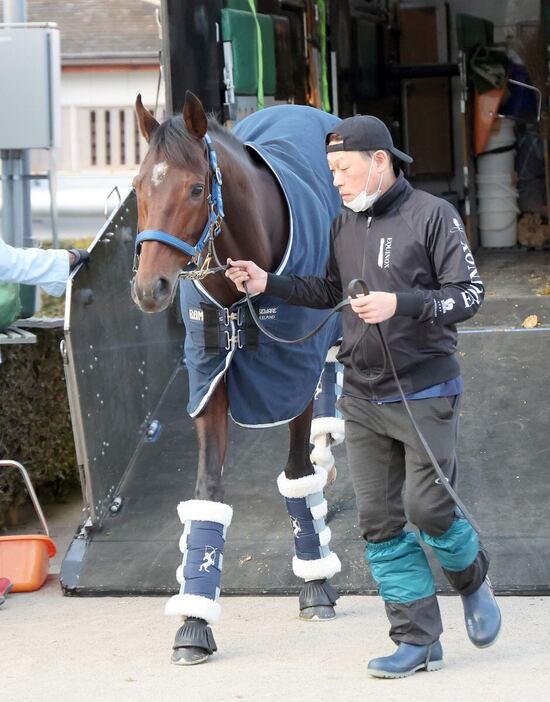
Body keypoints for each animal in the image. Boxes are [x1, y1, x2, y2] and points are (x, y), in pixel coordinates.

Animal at [132, 92, 342, 664]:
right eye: (137, 187)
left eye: (195, 188)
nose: (150, 288)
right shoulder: (208, 384)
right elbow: (208, 491)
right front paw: (193, 623)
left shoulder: (293, 375)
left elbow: (296, 473)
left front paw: (315, 586)